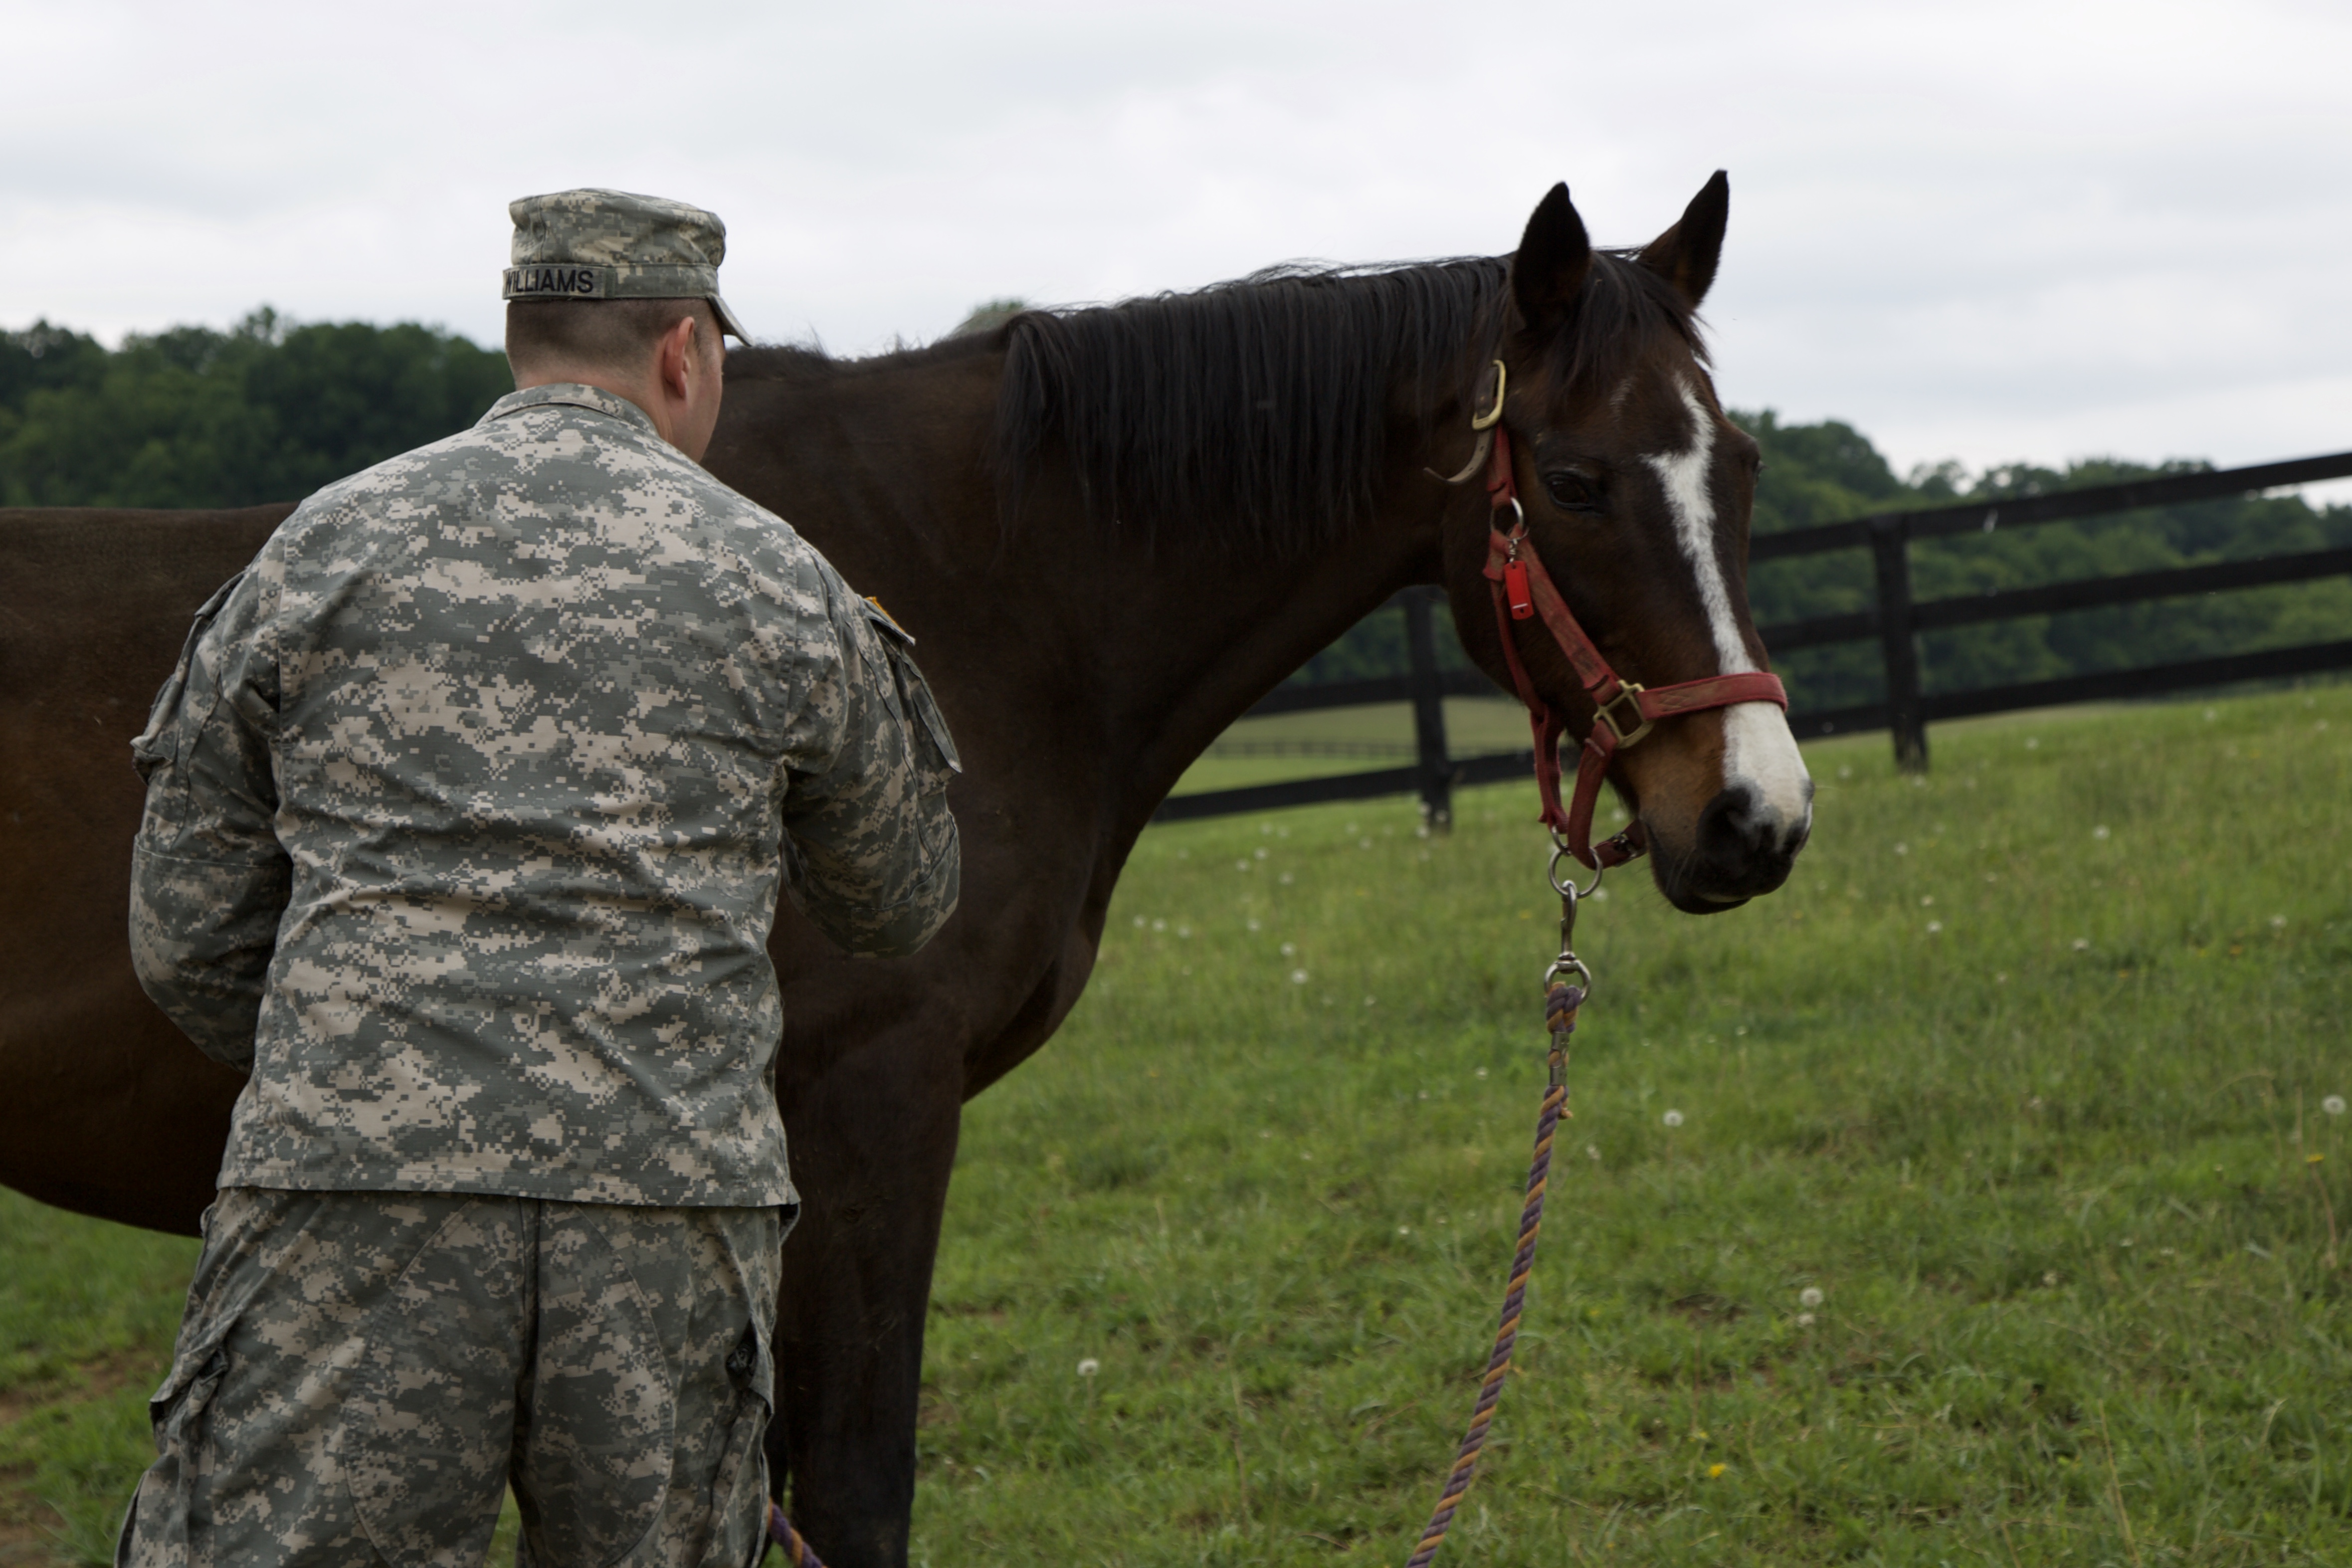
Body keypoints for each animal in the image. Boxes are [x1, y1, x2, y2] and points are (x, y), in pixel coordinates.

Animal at [0, 173, 1809, 1567]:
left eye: (1737, 469)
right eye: (1571, 478)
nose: (1754, 819)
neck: (982, 584)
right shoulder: (867, 1111)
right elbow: (856, 1498)